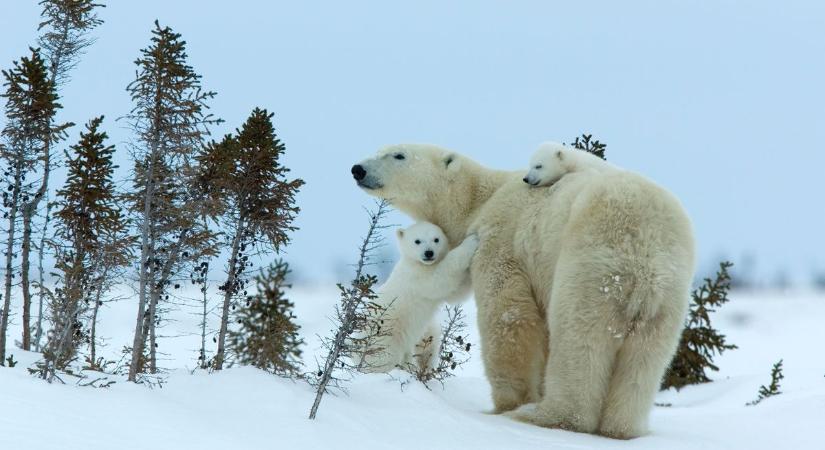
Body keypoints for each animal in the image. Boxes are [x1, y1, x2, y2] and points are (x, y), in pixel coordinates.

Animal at [358, 221, 476, 372]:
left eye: (436, 239)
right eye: (417, 241)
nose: (429, 253)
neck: (416, 262)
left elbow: (456, 293)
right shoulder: (416, 277)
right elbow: (440, 278)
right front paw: (472, 240)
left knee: (428, 344)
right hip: (383, 340)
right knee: (385, 360)